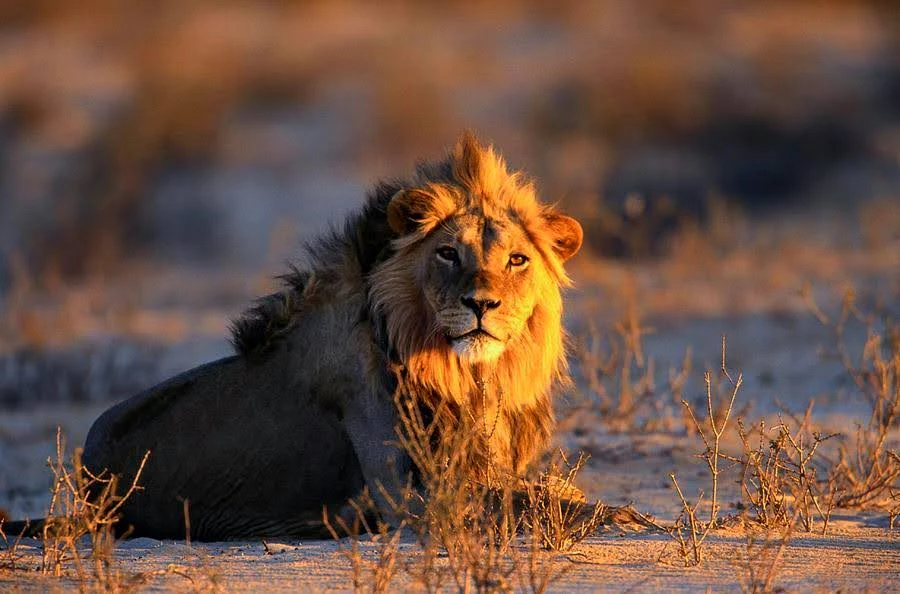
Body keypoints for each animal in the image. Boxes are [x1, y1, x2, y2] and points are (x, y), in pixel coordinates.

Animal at [8, 133, 583, 541]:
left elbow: (550, 493)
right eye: (447, 253)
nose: (481, 304)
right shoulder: (409, 496)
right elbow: (552, 505)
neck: (465, 373)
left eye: (517, 260)